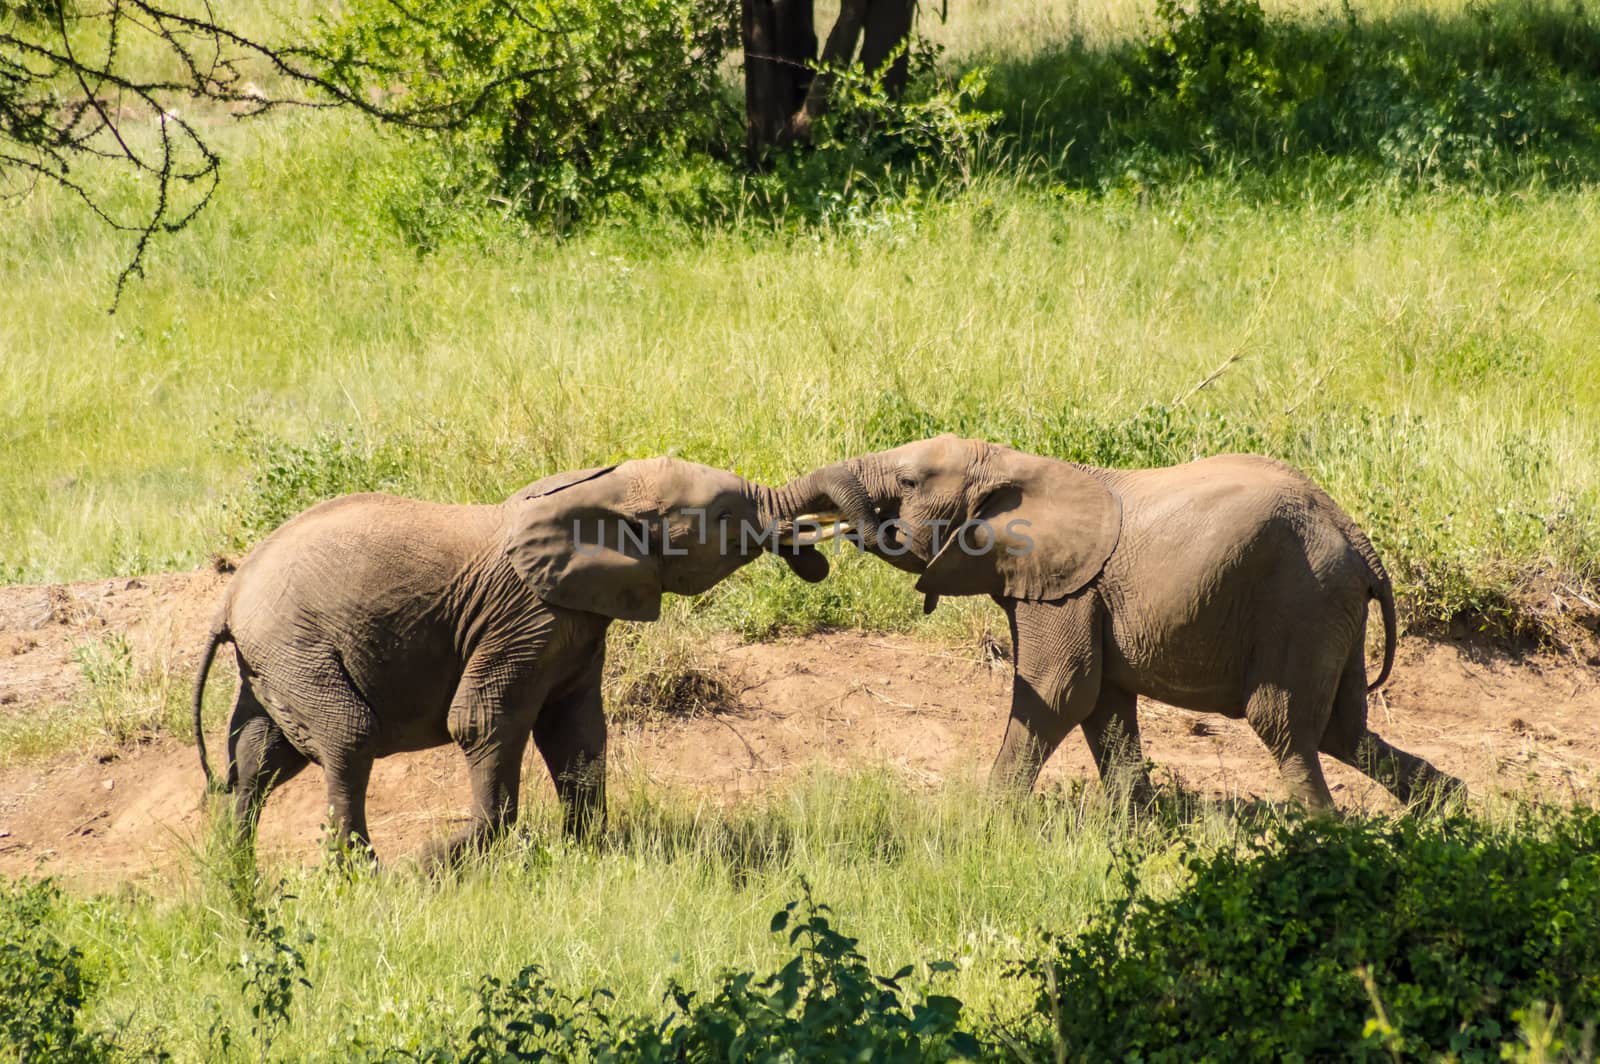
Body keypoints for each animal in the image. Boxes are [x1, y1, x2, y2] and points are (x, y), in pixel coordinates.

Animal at [187, 457, 864, 864]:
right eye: (725, 518)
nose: (817, 550)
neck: (600, 491)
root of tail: (230, 594)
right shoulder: (527, 615)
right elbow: (482, 721)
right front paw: (448, 861)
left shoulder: (577, 622)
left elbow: (577, 732)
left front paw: (588, 854)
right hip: (295, 647)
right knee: (347, 740)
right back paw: (362, 875)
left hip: (276, 660)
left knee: (257, 761)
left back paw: (235, 874)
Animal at [774, 435, 1465, 809]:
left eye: (909, 481)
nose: (810, 548)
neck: (1014, 462)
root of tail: (1362, 544)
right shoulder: (1084, 596)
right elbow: (1103, 704)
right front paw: (1132, 833)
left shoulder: (1065, 590)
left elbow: (1060, 692)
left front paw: (982, 819)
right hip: (1329, 612)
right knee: (1342, 731)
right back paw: (1445, 810)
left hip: (1300, 601)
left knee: (1285, 725)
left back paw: (1324, 839)